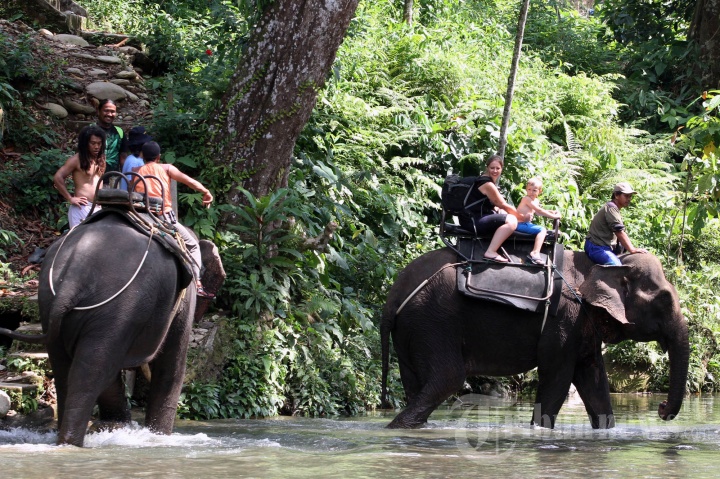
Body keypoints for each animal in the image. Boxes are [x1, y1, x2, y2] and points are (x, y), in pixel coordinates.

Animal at [0, 212, 222, 448]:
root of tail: (71, 279)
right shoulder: (183, 297)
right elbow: (172, 363)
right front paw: (158, 436)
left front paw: (116, 427)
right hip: (121, 304)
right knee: (92, 373)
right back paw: (71, 442)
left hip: (54, 304)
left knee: (70, 369)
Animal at [380, 248, 688, 432]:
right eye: (664, 299)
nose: (661, 409)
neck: (602, 264)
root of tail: (393, 294)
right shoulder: (564, 319)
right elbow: (557, 378)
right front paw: (539, 431)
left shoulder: (582, 325)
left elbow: (594, 379)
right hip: (434, 323)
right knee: (448, 379)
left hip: (412, 333)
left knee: (416, 384)